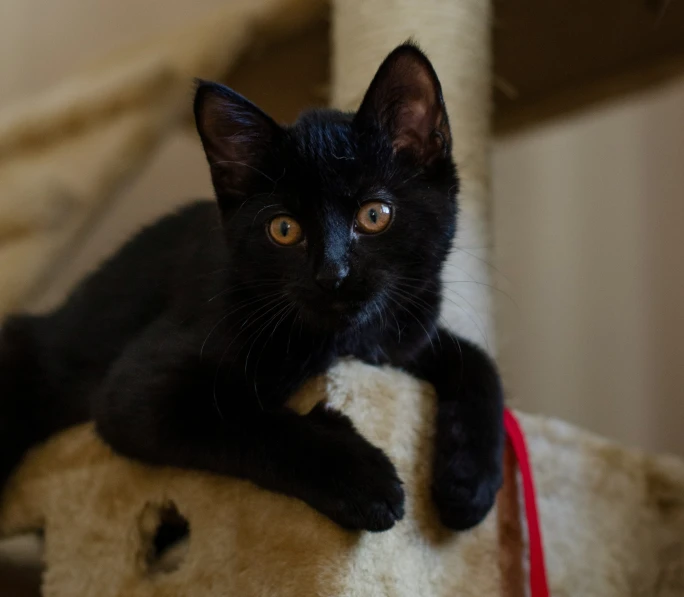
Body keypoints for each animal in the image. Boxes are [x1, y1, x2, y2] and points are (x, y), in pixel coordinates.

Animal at [0, 45, 502, 532]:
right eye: (284, 229)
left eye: (375, 215)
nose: (332, 274)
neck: (340, 340)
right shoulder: (134, 392)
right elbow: (249, 419)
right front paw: (362, 477)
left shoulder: (404, 334)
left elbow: (476, 361)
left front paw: (470, 485)